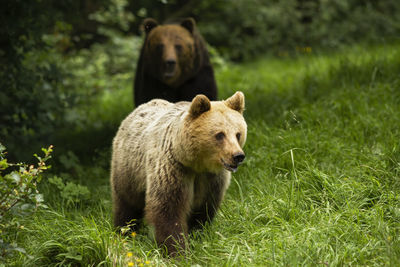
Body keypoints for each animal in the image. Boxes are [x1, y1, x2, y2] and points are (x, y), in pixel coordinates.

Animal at [109, 91, 247, 255]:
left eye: (238, 134)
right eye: (220, 134)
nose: (238, 156)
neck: (196, 165)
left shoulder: (211, 179)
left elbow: (204, 208)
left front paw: (197, 235)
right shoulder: (173, 169)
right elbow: (168, 210)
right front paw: (177, 251)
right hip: (128, 170)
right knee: (126, 204)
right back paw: (124, 231)